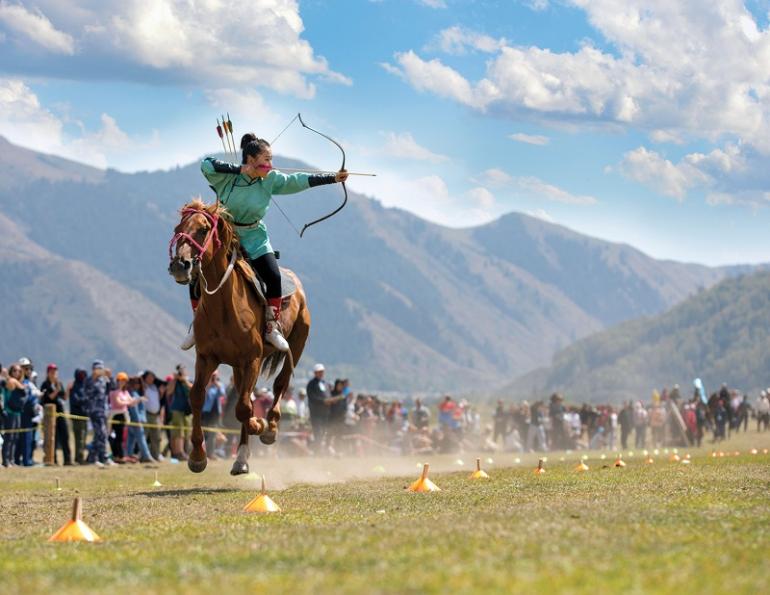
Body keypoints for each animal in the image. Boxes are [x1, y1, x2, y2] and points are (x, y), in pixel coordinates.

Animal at [167, 199, 310, 475]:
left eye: (203, 229)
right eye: (178, 228)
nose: (180, 265)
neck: (224, 306)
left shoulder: (251, 358)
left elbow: (244, 408)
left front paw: (259, 424)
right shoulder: (207, 357)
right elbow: (197, 397)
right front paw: (197, 456)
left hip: (296, 344)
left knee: (280, 384)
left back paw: (270, 428)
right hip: (237, 366)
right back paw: (241, 458)